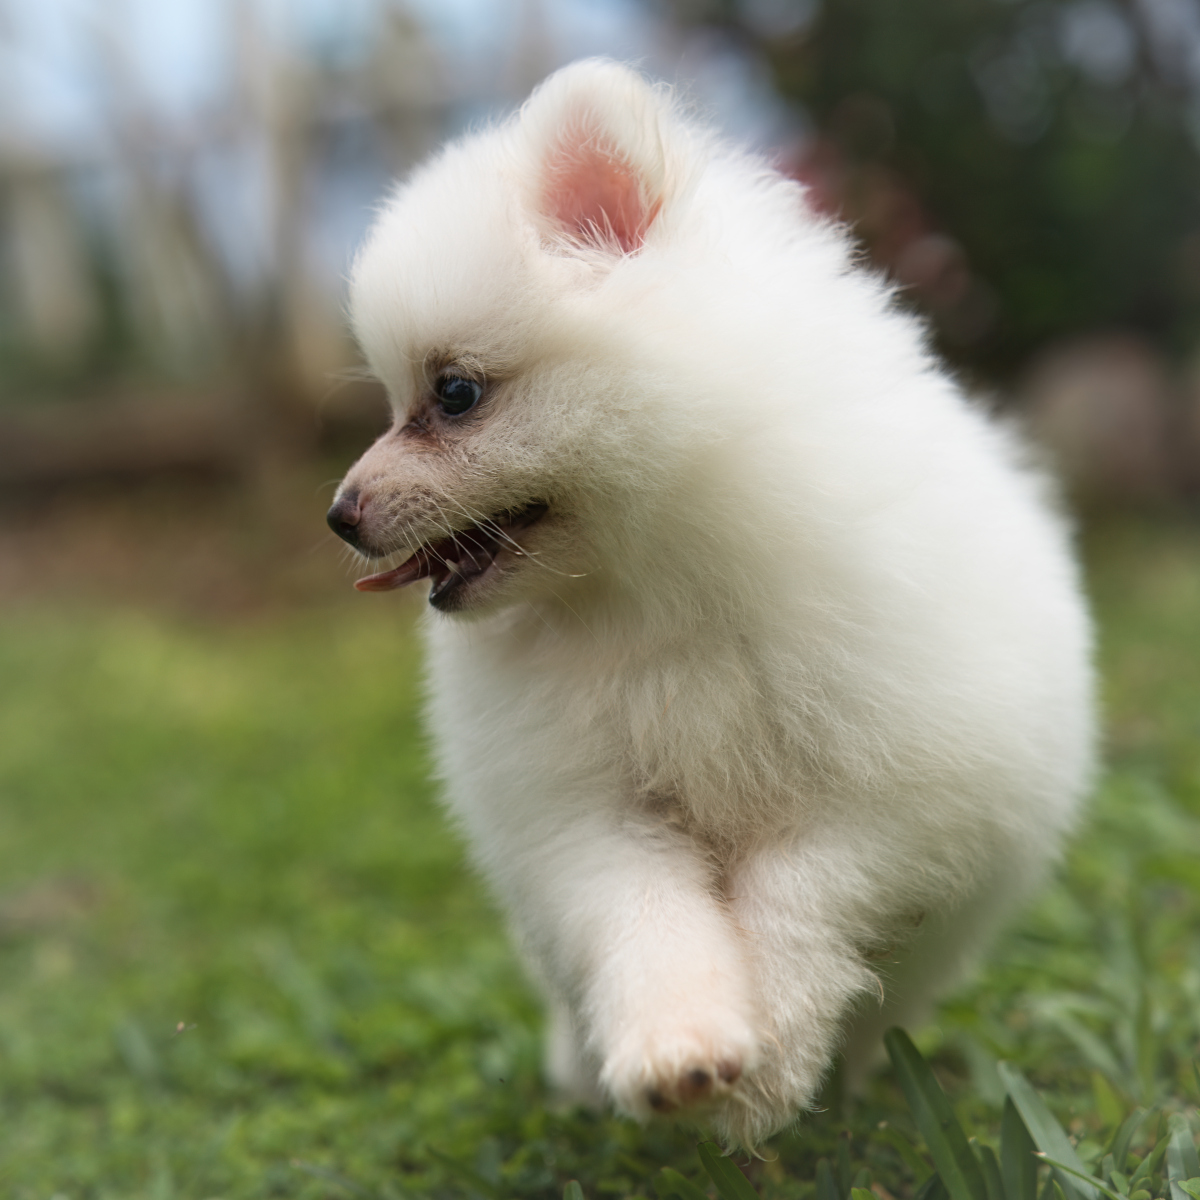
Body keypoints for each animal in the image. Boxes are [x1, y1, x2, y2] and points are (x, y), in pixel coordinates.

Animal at [328, 58, 1099, 1142]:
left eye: (455, 394)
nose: (339, 514)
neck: (657, 588)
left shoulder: (900, 794)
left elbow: (799, 895)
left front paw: (773, 1059)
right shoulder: (588, 807)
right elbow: (645, 914)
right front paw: (678, 1051)